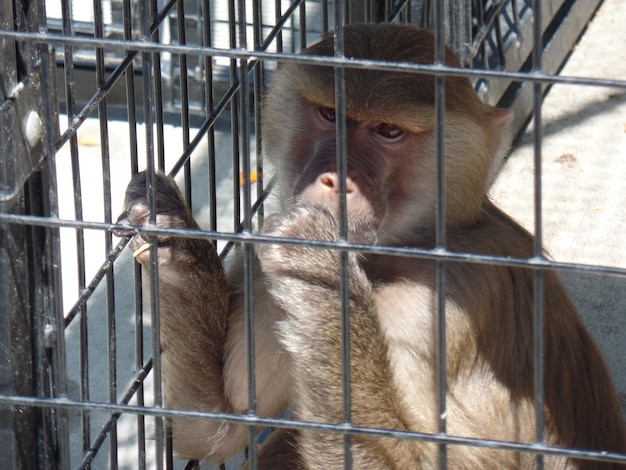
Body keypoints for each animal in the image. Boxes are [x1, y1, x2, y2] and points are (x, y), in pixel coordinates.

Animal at [117, 23, 624, 468]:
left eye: (388, 131)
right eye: (330, 116)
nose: (336, 178)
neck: (401, 249)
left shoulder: (437, 307)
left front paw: (323, 279)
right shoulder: (262, 273)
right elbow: (219, 426)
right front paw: (170, 233)